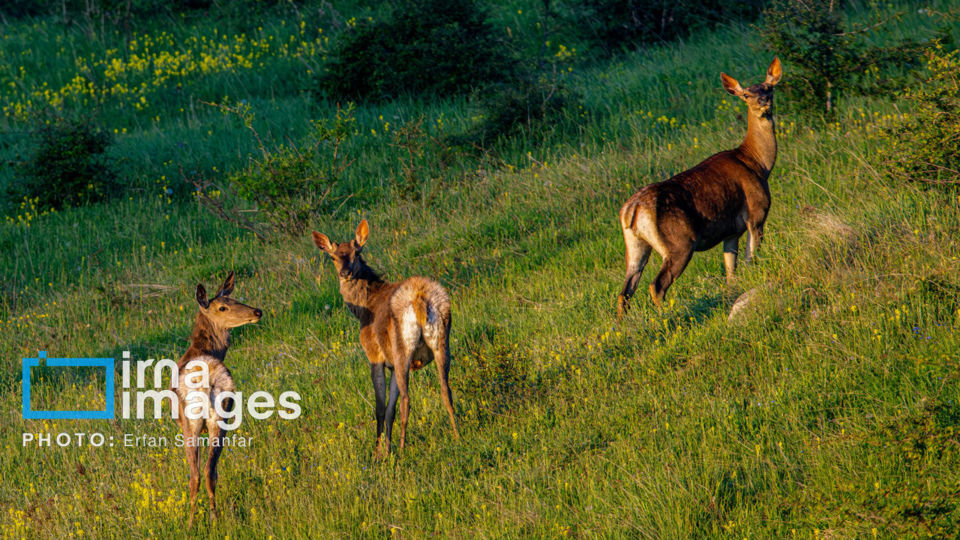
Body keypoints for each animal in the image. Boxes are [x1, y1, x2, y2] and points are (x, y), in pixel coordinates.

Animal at [174, 271, 262, 528]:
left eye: (234, 300)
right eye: (223, 306)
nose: (257, 311)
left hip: (196, 422)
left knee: (200, 473)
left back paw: (196, 521)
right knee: (206, 471)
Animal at [312, 219, 459, 456]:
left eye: (357, 252)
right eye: (333, 257)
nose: (345, 272)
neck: (364, 308)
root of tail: (419, 299)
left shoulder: (375, 355)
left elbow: (381, 407)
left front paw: (379, 452)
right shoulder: (390, 365)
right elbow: (390, 408)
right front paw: (386, 449)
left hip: (402, 349)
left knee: (407, 400)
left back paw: (403, 449)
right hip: (442, 342)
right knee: (446, 390)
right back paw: (457, 436)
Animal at [616, 57, 782, 317]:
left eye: (768, 88)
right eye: (746, 94)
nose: (763, 103)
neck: (758, 163)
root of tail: (631, 210)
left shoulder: (731, 232)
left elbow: (731, 273)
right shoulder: (756, 214)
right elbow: (751, 260)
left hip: (635, 245)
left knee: (625, 292)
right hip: (680, 242)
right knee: (656, 285)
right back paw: (666, 318)